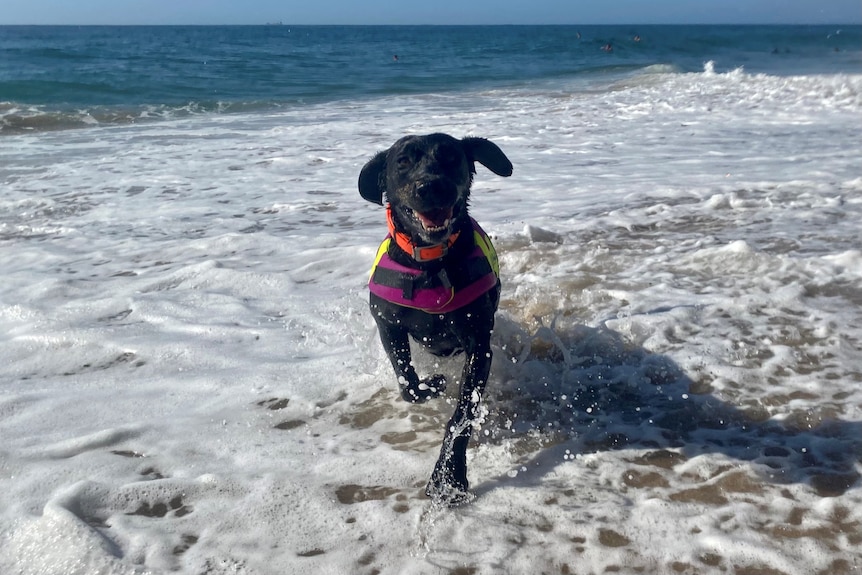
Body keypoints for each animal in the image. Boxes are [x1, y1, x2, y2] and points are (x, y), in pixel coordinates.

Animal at [358, 134, 512, 504]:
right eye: (402, 161)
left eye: (451, 156)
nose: (431, 186)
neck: (431, 262)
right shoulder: (388, 326)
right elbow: (407, 383)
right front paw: (434, 384)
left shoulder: (479, 344)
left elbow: (462, 415)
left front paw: (450, 477)